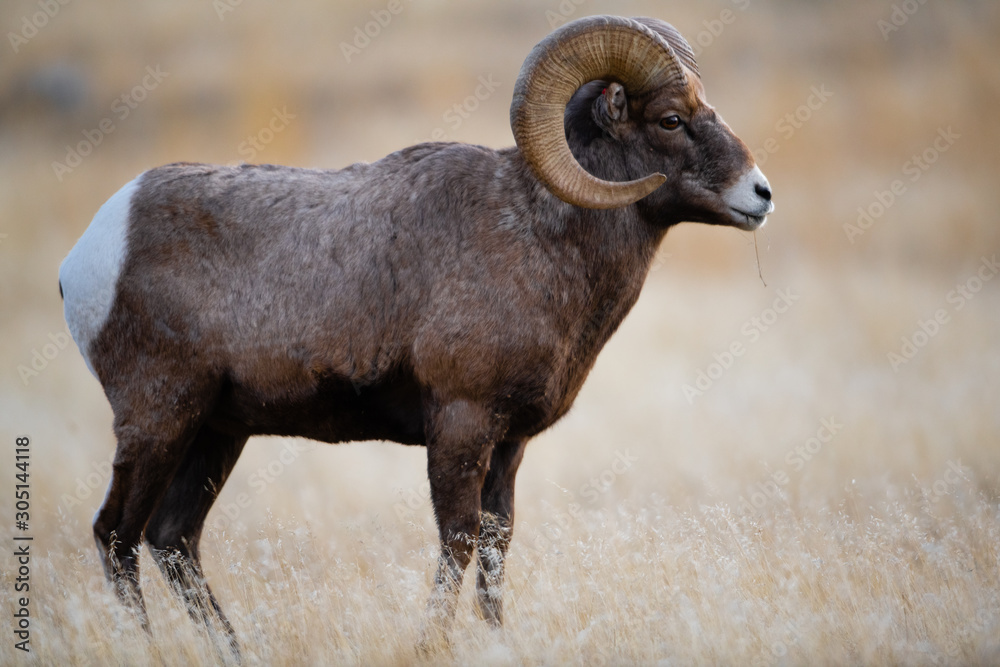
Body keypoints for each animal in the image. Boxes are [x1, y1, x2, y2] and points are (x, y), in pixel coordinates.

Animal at [58, 14, 772, 652]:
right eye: (671, 120)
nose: (760, 195)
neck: (538, 236)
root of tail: (92, 248)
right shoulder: (460, 423)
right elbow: (457, 539)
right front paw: (431, 644)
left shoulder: (507, 444)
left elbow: (496, 543)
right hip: (160, 421)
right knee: (117, 536)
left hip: (214, 432)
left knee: (173, 539)